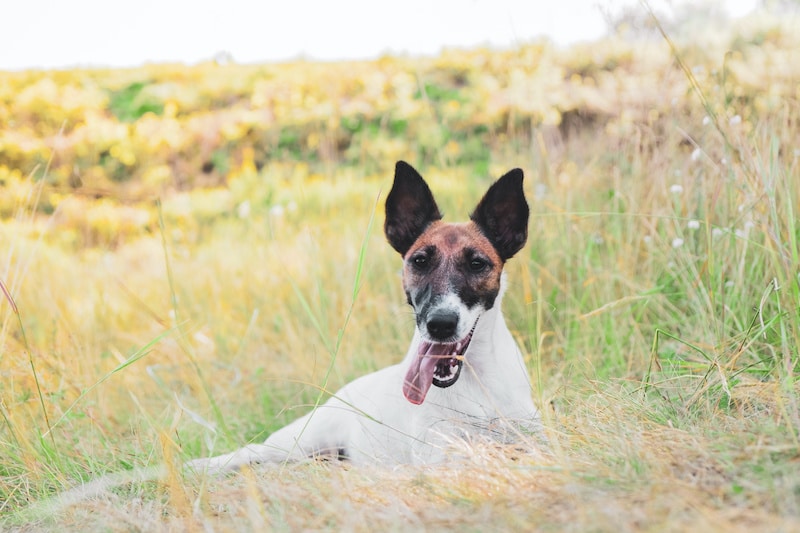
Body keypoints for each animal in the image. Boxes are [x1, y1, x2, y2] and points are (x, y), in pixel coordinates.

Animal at [187, 159, 536, 470]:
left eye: (477, 264)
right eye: (420, 261)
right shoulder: (441, 455)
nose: (439, 325)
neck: (477, 381)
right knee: (249, 453)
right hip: (297, 440)